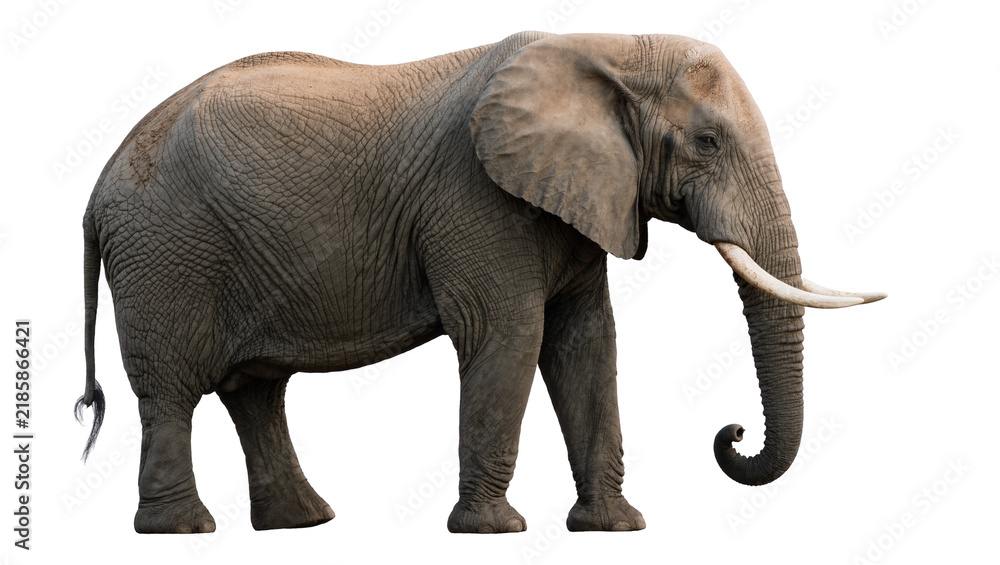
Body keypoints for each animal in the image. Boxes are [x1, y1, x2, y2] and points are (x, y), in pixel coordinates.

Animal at [77, 31, 884, 534]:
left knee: (255, 390)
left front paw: (614, 528)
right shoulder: (477, 200)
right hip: (167, 252)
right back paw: (184, 529)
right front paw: (496, 531)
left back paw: (304, 522)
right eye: (708, 142)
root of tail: (98, 187)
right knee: (172, 388)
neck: (609, 45)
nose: (731, 433)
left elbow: (587, 344)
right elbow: (511, 335)